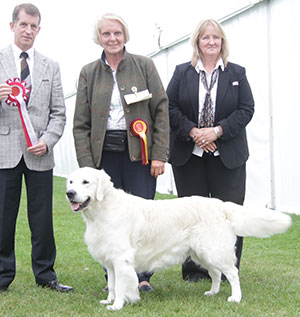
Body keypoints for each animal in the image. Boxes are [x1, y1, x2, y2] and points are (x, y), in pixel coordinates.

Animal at [66, 167, 292, 310]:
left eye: (86, 182)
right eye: (71, 181)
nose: (69, 193)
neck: (101, 211)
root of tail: (220, 204)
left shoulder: (121, 259)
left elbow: (122, 286)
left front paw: (117, 305)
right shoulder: (110, 261)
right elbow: (113, 285)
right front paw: (109, 301)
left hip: (214, 250)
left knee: (232, 273)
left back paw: (235, 297)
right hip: (201, 253)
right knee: (216, 273)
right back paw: (212, 293)